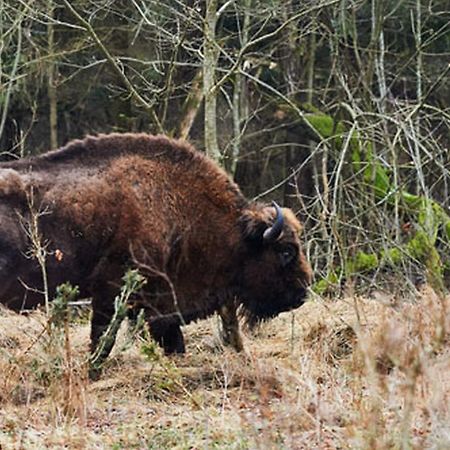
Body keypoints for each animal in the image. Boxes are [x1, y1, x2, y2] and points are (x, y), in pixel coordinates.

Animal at [0, 133, 312, 376]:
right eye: (285, 250)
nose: (303, 292)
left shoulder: (161, 305)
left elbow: (173, 343)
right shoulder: (112, 292)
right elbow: (103, 339)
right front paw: (92, 372)